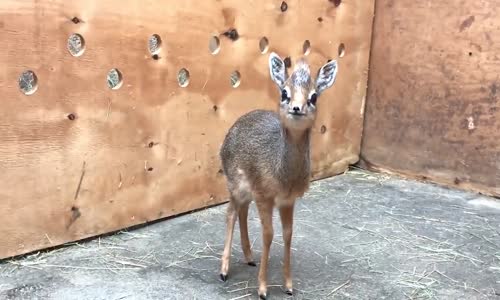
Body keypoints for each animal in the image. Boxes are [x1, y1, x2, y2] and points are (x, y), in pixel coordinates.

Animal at [218, 51, 338, 298]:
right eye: (284, 92)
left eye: (313, 97)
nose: (297, 108)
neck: (283, 173)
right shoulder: (265, 196)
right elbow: (268, 234)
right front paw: (263, 289)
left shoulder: (287, 200)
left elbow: (288, 234)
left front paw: (289, 285)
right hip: (235, 185)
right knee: (231, 213)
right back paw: (224, 271)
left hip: (248, 191)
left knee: (242, 211)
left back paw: (249, 257)